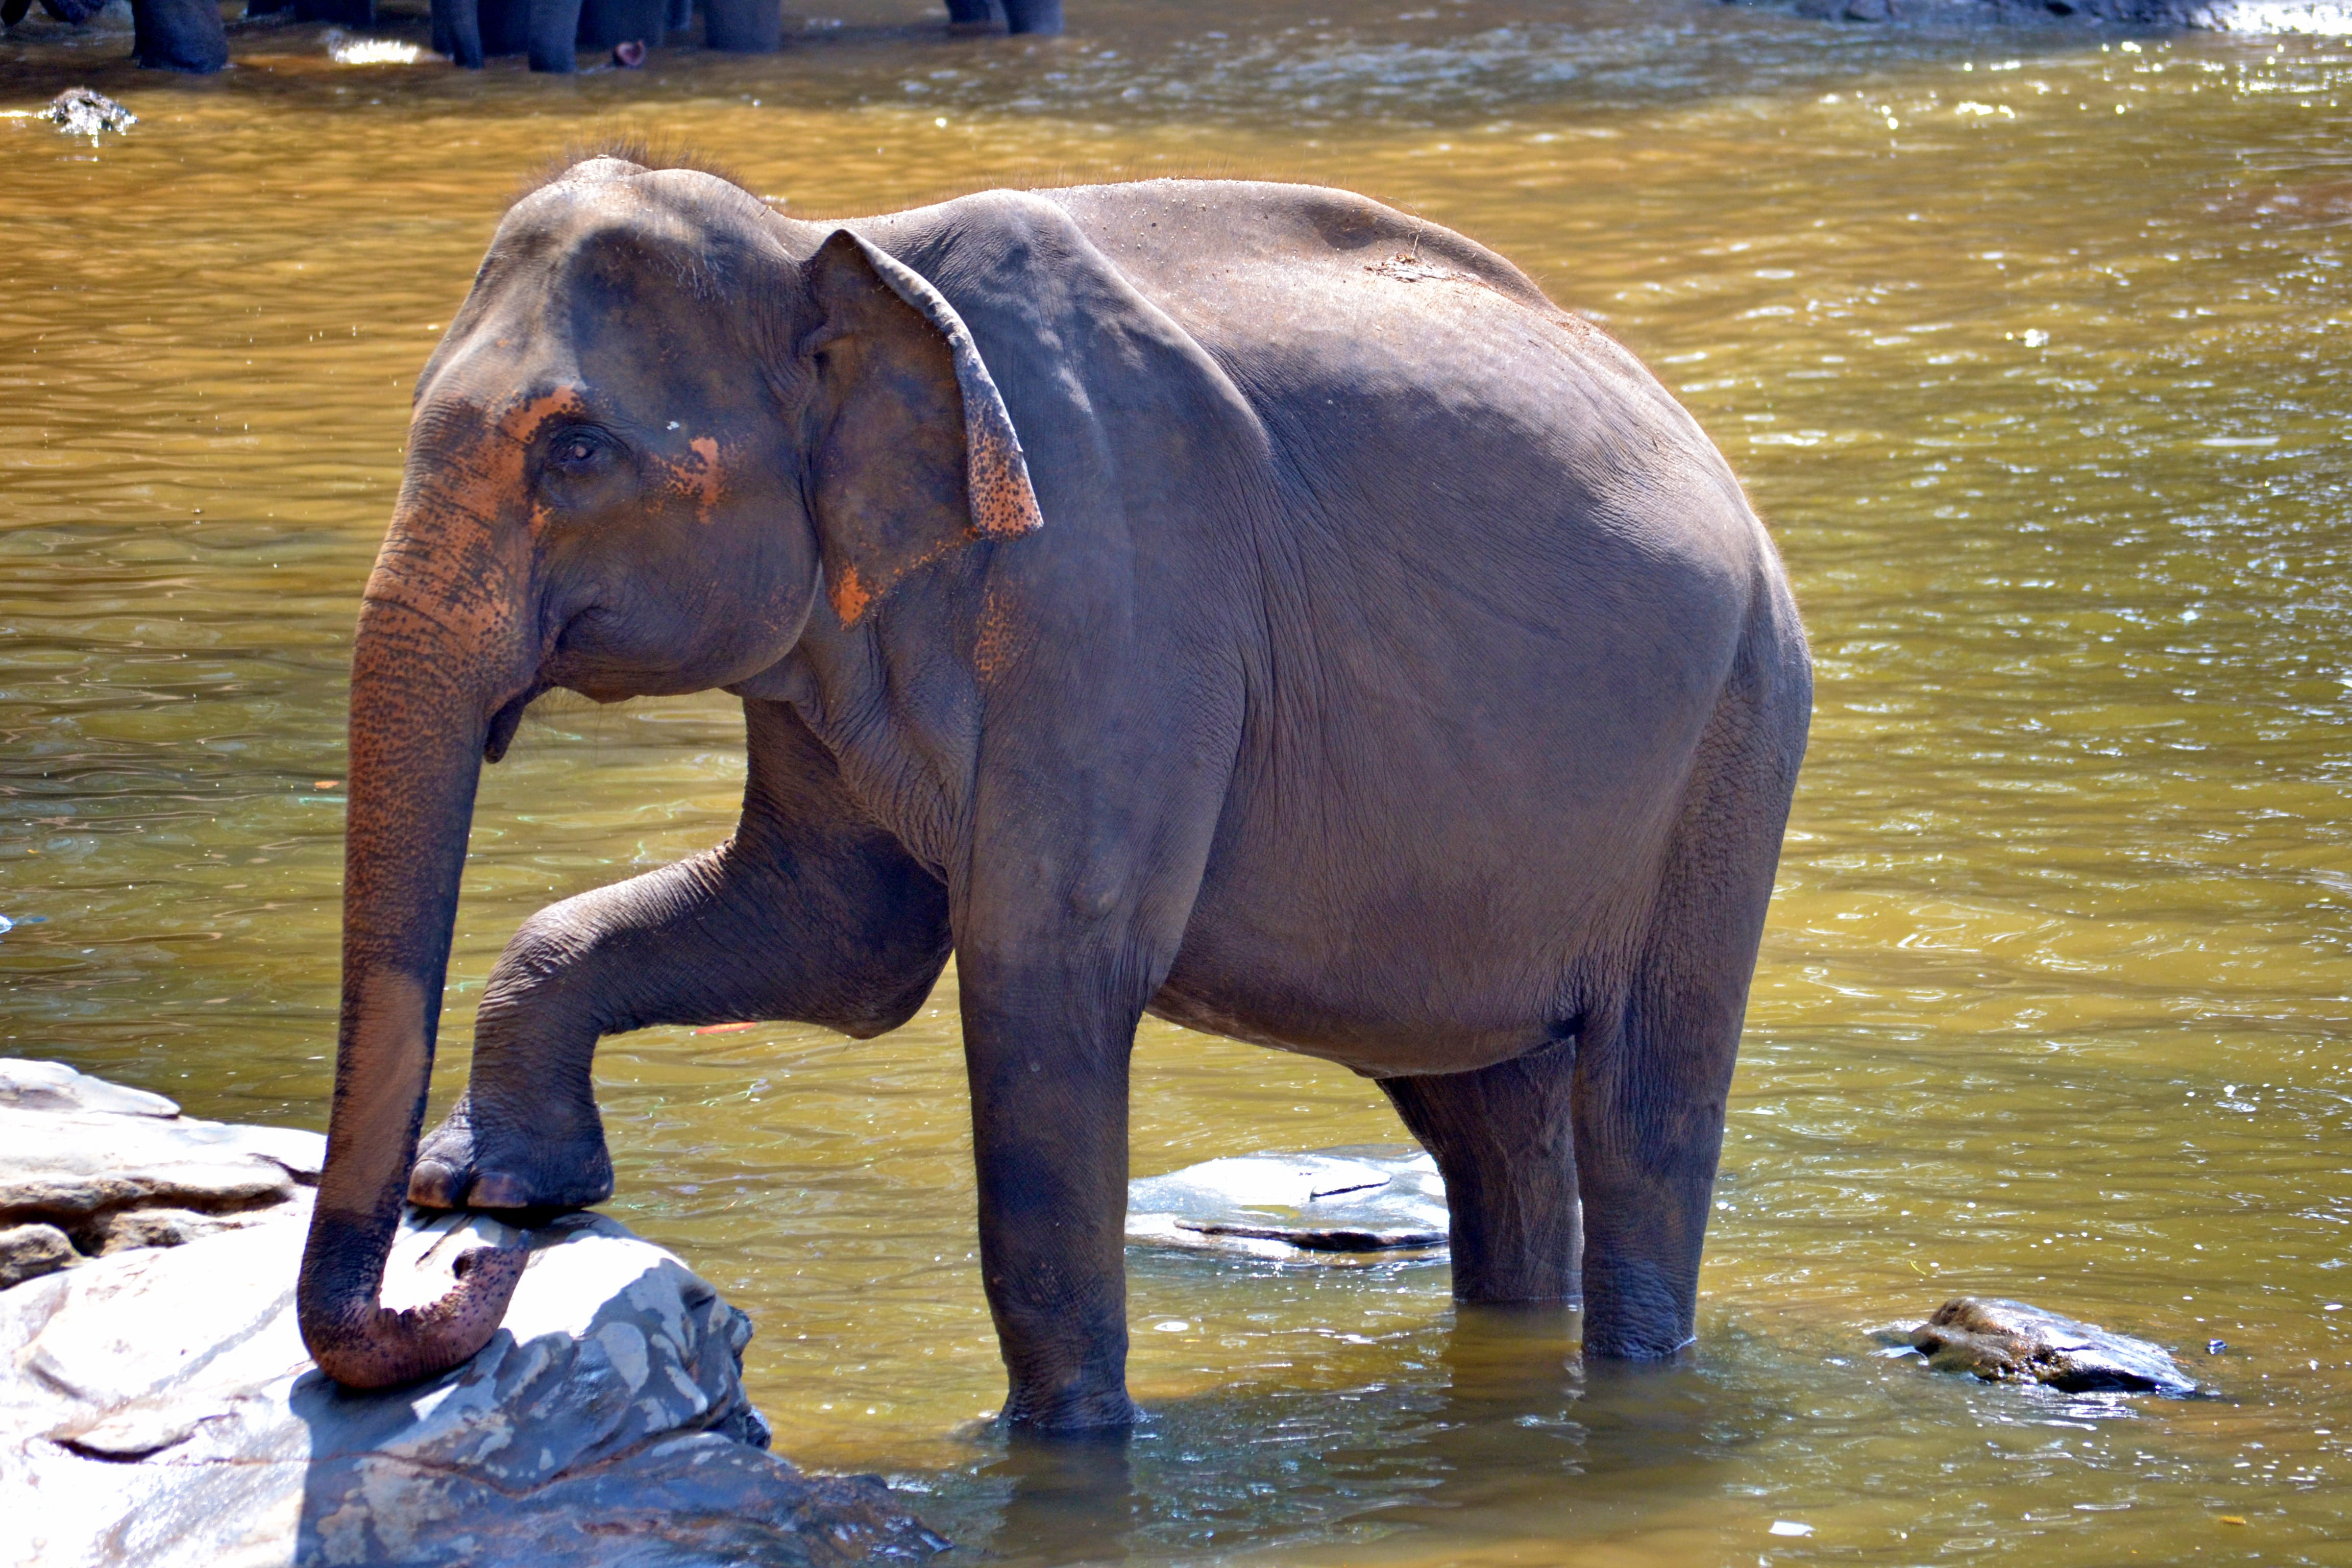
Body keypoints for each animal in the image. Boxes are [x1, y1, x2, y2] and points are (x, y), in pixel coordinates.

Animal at [294, 156, 1812, 1433]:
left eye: (574, 450)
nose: (463, 1278)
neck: (831, 240)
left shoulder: (1116, 592)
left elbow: (1044, 969)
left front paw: (1055, 1447)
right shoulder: (831, 629)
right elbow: (831, 937)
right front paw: (498, 1183)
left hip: (1734, 746)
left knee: (1643, 1107)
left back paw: (1635, 1372)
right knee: (1488, 1116)